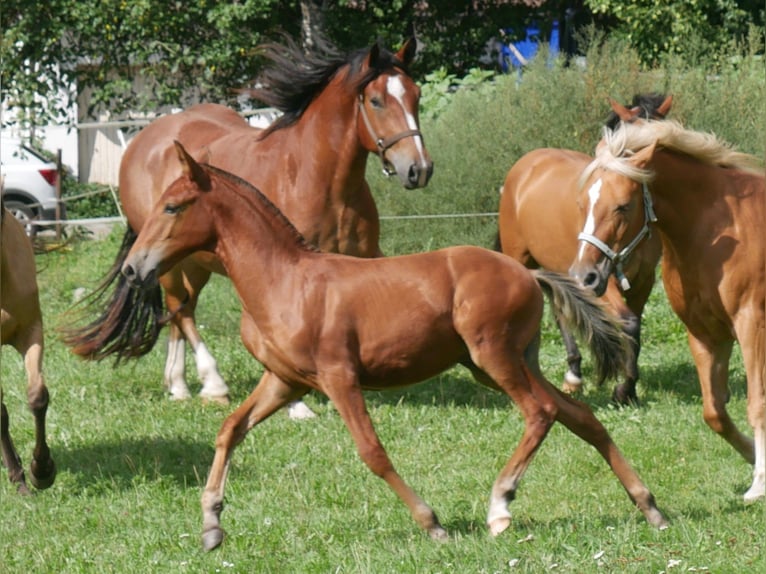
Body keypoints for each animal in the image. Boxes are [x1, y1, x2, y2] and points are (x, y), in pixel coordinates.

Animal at [63, 33, 432, 413]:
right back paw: (210, 384)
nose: (418, 168)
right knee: (180, 311)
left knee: (181, 309)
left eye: (416, 94)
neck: (320, 180)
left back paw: (177, 384)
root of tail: (143, 140)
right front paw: (297, 406)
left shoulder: (365, 259)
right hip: (165, 259)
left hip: (192, 259)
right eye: (375, 100)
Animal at [112, 142, 666, 549]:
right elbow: (229, 430)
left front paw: (432, 522)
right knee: (579, 416)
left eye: (173, 206)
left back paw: (500, 505)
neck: (284, 280)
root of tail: (528, 273)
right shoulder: (285, 381)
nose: (133, 269)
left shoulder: (339, 378)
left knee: (541, 413)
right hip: (503, 362)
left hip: (494, 356)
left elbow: (372, 452)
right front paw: (211, 525)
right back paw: (650, 506)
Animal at [497, 95, 672, 404]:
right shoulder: (601, 277)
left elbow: (636, 325)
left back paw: (574, 374)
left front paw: (629, 389)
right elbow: (628, 323)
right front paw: (623, 389)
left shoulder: (644, 279)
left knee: (560, 308)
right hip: (523, 260)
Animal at [568, 119, 765, 502]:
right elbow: (714, 412)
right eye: (583, 203)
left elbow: (756, 404)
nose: (585, 277)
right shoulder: (706, 334)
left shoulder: (752, 328)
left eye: (623, 206)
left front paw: (760, 482)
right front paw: (752, 456)